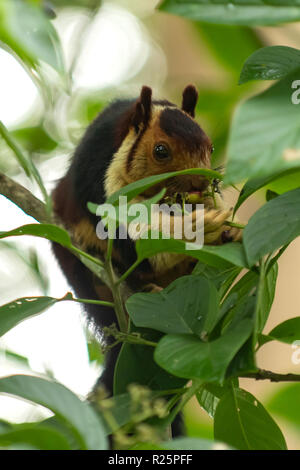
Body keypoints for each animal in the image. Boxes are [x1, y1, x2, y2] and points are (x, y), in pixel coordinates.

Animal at [51, 83, 243, 426]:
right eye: (161, 151)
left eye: (210, 148)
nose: (201, 182)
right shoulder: (100, 177)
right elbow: (130, 236)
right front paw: (195, 226)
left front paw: (226, 226)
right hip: (81, 270)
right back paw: (144, 287)